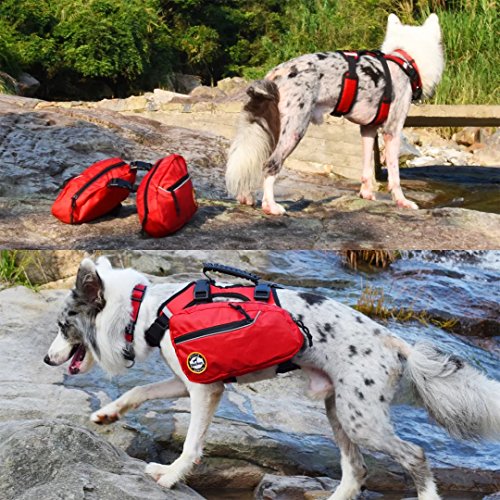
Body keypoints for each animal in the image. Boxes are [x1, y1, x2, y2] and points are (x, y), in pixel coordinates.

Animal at [44, 258, 500, 500]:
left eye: (64, 326)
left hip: (361, 419)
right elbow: (140, 389)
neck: (147, 310)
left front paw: (171, 477)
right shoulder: (187, 380)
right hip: (340, 411)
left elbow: (191, 444)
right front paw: (107, 414)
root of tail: (393, 340)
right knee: (356, 470)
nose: (47, 359)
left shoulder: (205, 387)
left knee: (415, 455)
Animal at [227, 14, 446, 214]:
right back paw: (270, 206)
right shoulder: (392, 130)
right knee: (270, 165)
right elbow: (395, 176)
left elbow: (367, 168)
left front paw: (367, 194)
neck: (404, 61)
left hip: (268, 131)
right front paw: (402, 201)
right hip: (294, 130)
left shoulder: (368, 130)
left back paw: (246, 197)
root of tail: (274, 75)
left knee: (253, 159)